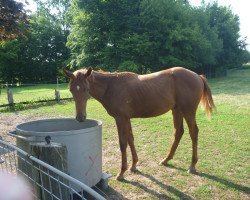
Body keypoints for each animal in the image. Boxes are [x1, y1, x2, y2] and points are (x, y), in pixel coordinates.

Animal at [64, 67, 215, 180]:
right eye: (71, 89)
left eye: (86, 89)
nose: (80, 118)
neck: (111, 87)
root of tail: (197, 76)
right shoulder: (126, 119)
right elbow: (131, 139)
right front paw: (134, 166)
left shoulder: (120, 119)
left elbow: (123, 143)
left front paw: (122, 172)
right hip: (176, 110)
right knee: (178, 132)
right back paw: (166, 160)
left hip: (188, 111)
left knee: (193, 132)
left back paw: (192, 166)